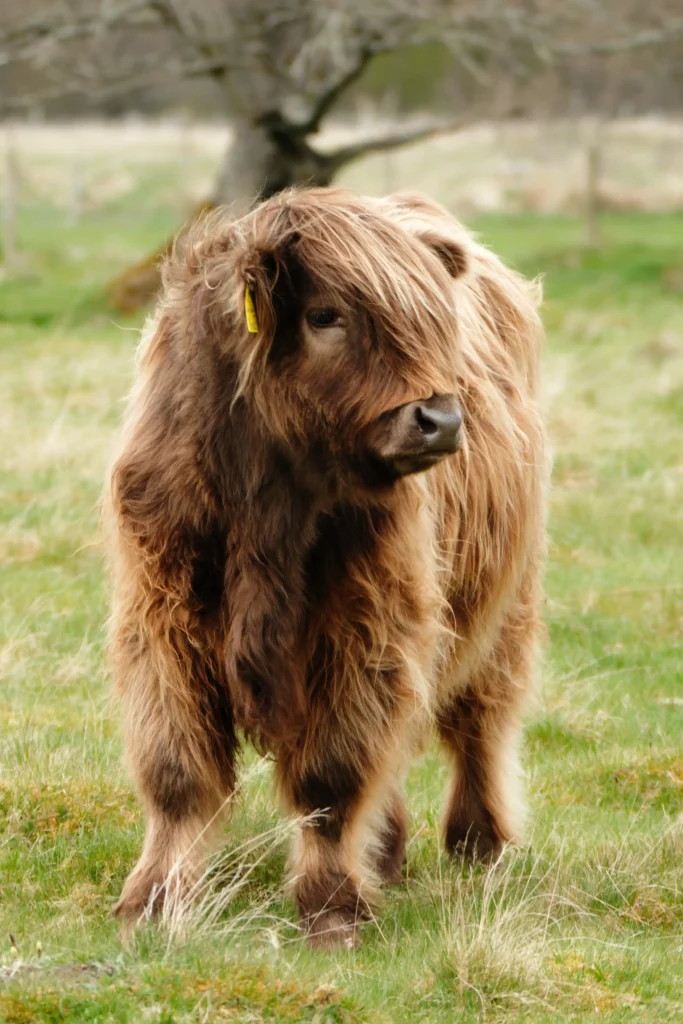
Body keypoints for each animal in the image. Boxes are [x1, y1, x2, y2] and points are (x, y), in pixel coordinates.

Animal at [105, 188, 544, 946]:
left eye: (433, 325)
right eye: (324, 316)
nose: (440, 419)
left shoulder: (366, 619)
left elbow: (331, 775)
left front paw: (332, 905)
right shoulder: (160, 612)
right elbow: (175, 770)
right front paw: (154, 900)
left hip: (503, 606)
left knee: (478, 723)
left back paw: (479, 842)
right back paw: (389, 853)